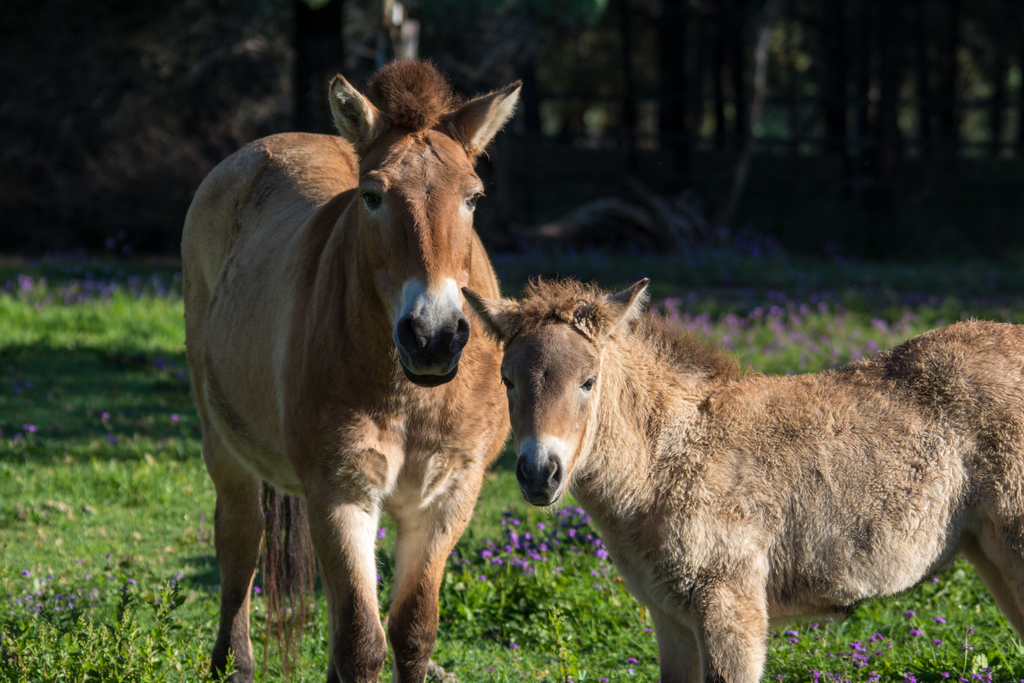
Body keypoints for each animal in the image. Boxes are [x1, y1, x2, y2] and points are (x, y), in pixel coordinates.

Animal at [181, 60, 515, 683]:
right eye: (372, 196)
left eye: (474, 198)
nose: (432, 336)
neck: (411, 395)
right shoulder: (340, 494)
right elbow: (363, 644)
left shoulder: (448, 497)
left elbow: (411, 632)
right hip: (224, 445)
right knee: (239, 542)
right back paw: (233, 663)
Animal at [464, 278, 1024, 683]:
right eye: (507, 381)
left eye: (588, 381)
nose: (539, 473)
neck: (669, 460)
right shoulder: (669, 619)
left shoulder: (730, 608)